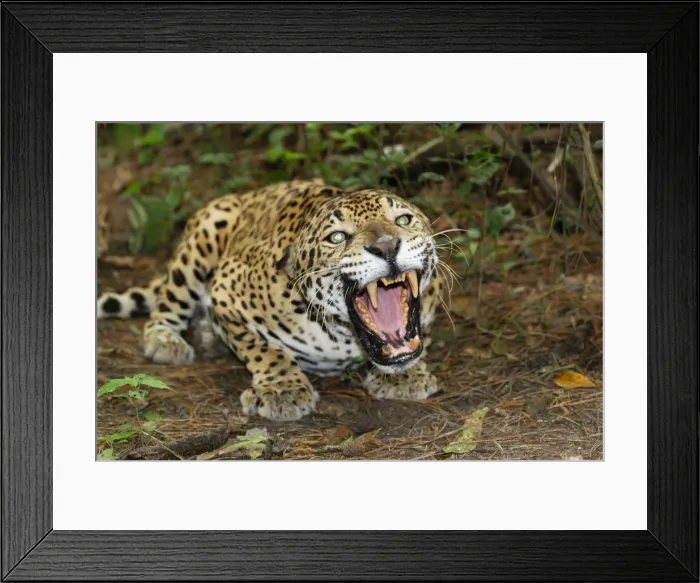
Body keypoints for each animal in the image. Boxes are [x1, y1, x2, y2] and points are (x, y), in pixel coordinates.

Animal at [98, 180, 446, 421]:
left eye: (403, 220)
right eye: (336, 238)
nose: (387, 246)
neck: (345, 337)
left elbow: (419, 338)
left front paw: (404, 376)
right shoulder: (226, 291)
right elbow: (263, 349)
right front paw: (282, 389)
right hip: (205, 234)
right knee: (169, 302)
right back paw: (166, 340)